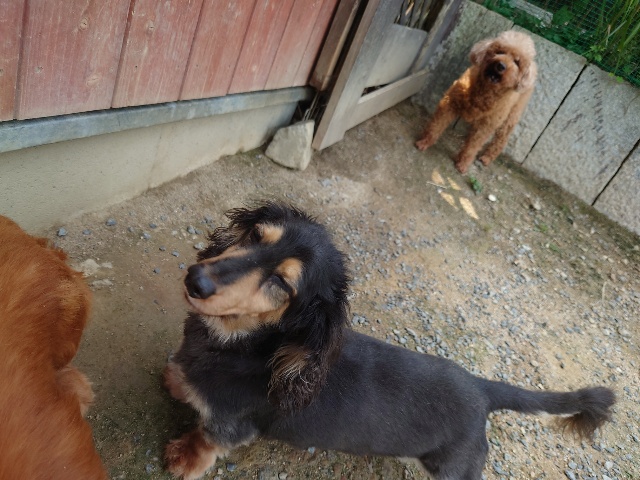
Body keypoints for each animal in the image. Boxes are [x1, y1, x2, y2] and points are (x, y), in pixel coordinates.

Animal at [163, 202, 614, 480]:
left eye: (280, 283)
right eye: (256, 235)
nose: (195, 280)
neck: (246, 345)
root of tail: (481, 388)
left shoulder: (230, 425)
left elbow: (207, 440)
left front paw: (184, 458)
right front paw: (176, 381)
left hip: (453, 467)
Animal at [416, 30, 537, 174]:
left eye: (517, 62)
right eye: (500, 51)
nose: (500, 65)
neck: (484, 91)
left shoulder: (486, 125)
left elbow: (473, 145)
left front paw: (463, 163)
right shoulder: (450, 103)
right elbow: (436, 125)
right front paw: (424, 142)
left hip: (511, 117)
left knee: (501, 139)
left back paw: (487, 157)